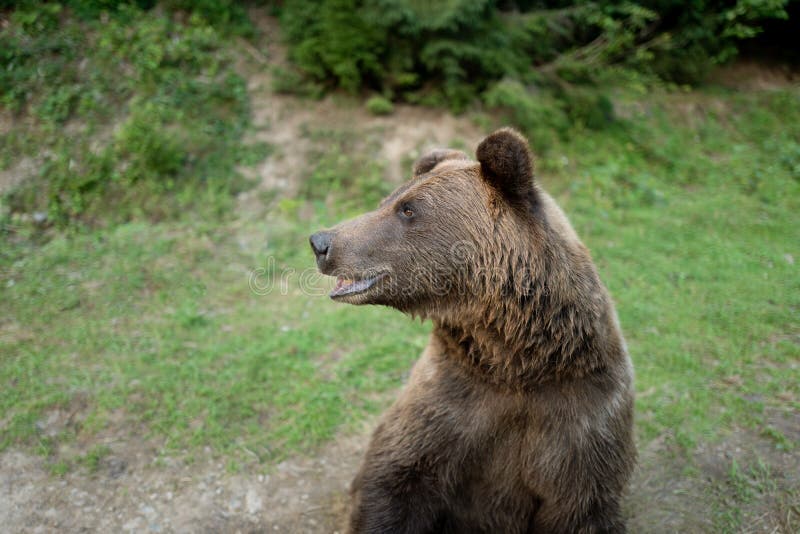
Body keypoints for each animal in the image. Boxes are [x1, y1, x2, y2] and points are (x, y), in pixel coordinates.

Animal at [309, 128, 636, 533]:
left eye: (408, 209)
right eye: (390, 199)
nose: (322, 243)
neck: (515, 356)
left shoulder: (584, 417)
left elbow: (581, 508)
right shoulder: (449, 402)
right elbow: (391, 479)